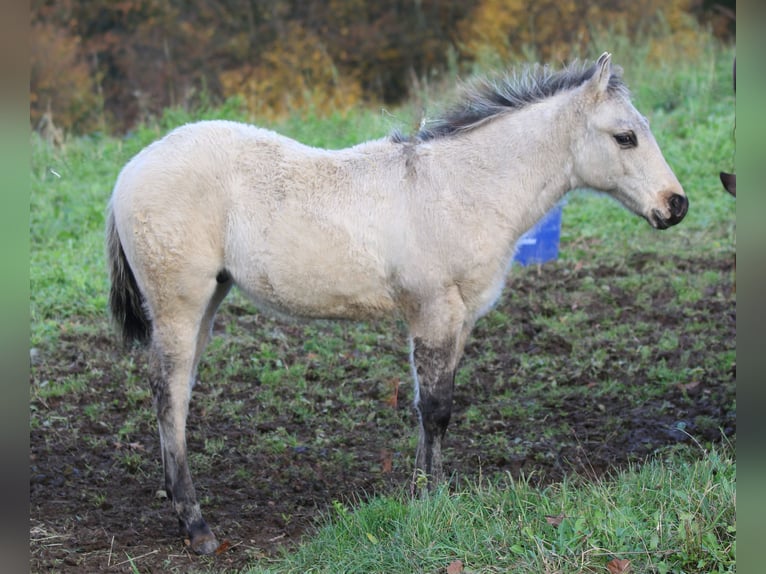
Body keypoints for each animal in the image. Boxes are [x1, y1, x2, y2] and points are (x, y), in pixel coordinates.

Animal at [106, 52, 688, 554]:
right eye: (626, 137)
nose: (675, 205)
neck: (461, 190)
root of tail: (129, 171)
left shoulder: (458, 320)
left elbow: (434, 406)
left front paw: (429, 490)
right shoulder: (433, 312)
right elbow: (435, 409)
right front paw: (430, 500)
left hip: (208, 300)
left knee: (178, 392)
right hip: (179, 303)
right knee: (169, 393)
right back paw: (196, 525)